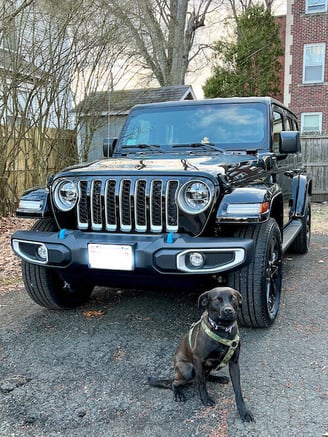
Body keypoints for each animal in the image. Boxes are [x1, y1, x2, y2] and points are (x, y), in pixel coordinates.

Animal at [148, 284, 254, 420]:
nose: (228, 310)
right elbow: (202, 383)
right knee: (176, 383)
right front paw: (205, 399)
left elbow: (238, 389)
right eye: (217, 299)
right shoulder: (198, 360)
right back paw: (178, 393)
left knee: (205, 376)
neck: (222, 330)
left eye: (233, 298)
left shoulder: (234, 363)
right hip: (188, 370)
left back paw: (219, 378)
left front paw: (243, 411)